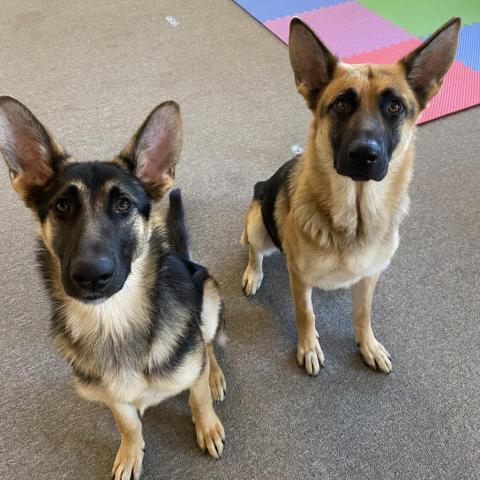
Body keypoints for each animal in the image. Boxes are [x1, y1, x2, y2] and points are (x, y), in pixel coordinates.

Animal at [0, 98, 228, 480]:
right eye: (62, 206)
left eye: (123, 205)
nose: (92, 275)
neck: (112, 320)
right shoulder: (112, 397)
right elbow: (128, 424)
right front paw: (131, 452)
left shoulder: (190, 369)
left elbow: (198, 398)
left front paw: (207, 425)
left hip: (208, 296)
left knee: (207, 345)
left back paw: (215, 375)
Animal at [242, 18, 460, 376]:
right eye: (342, 104)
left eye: (394, 106)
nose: (364, 155)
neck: (356, 214)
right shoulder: (300, 278)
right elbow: (306, 313)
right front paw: (308, 347)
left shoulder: (371, 276)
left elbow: (363, 313)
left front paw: (367, 344)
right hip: (258, 225)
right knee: (255, 252)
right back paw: (253, 273)